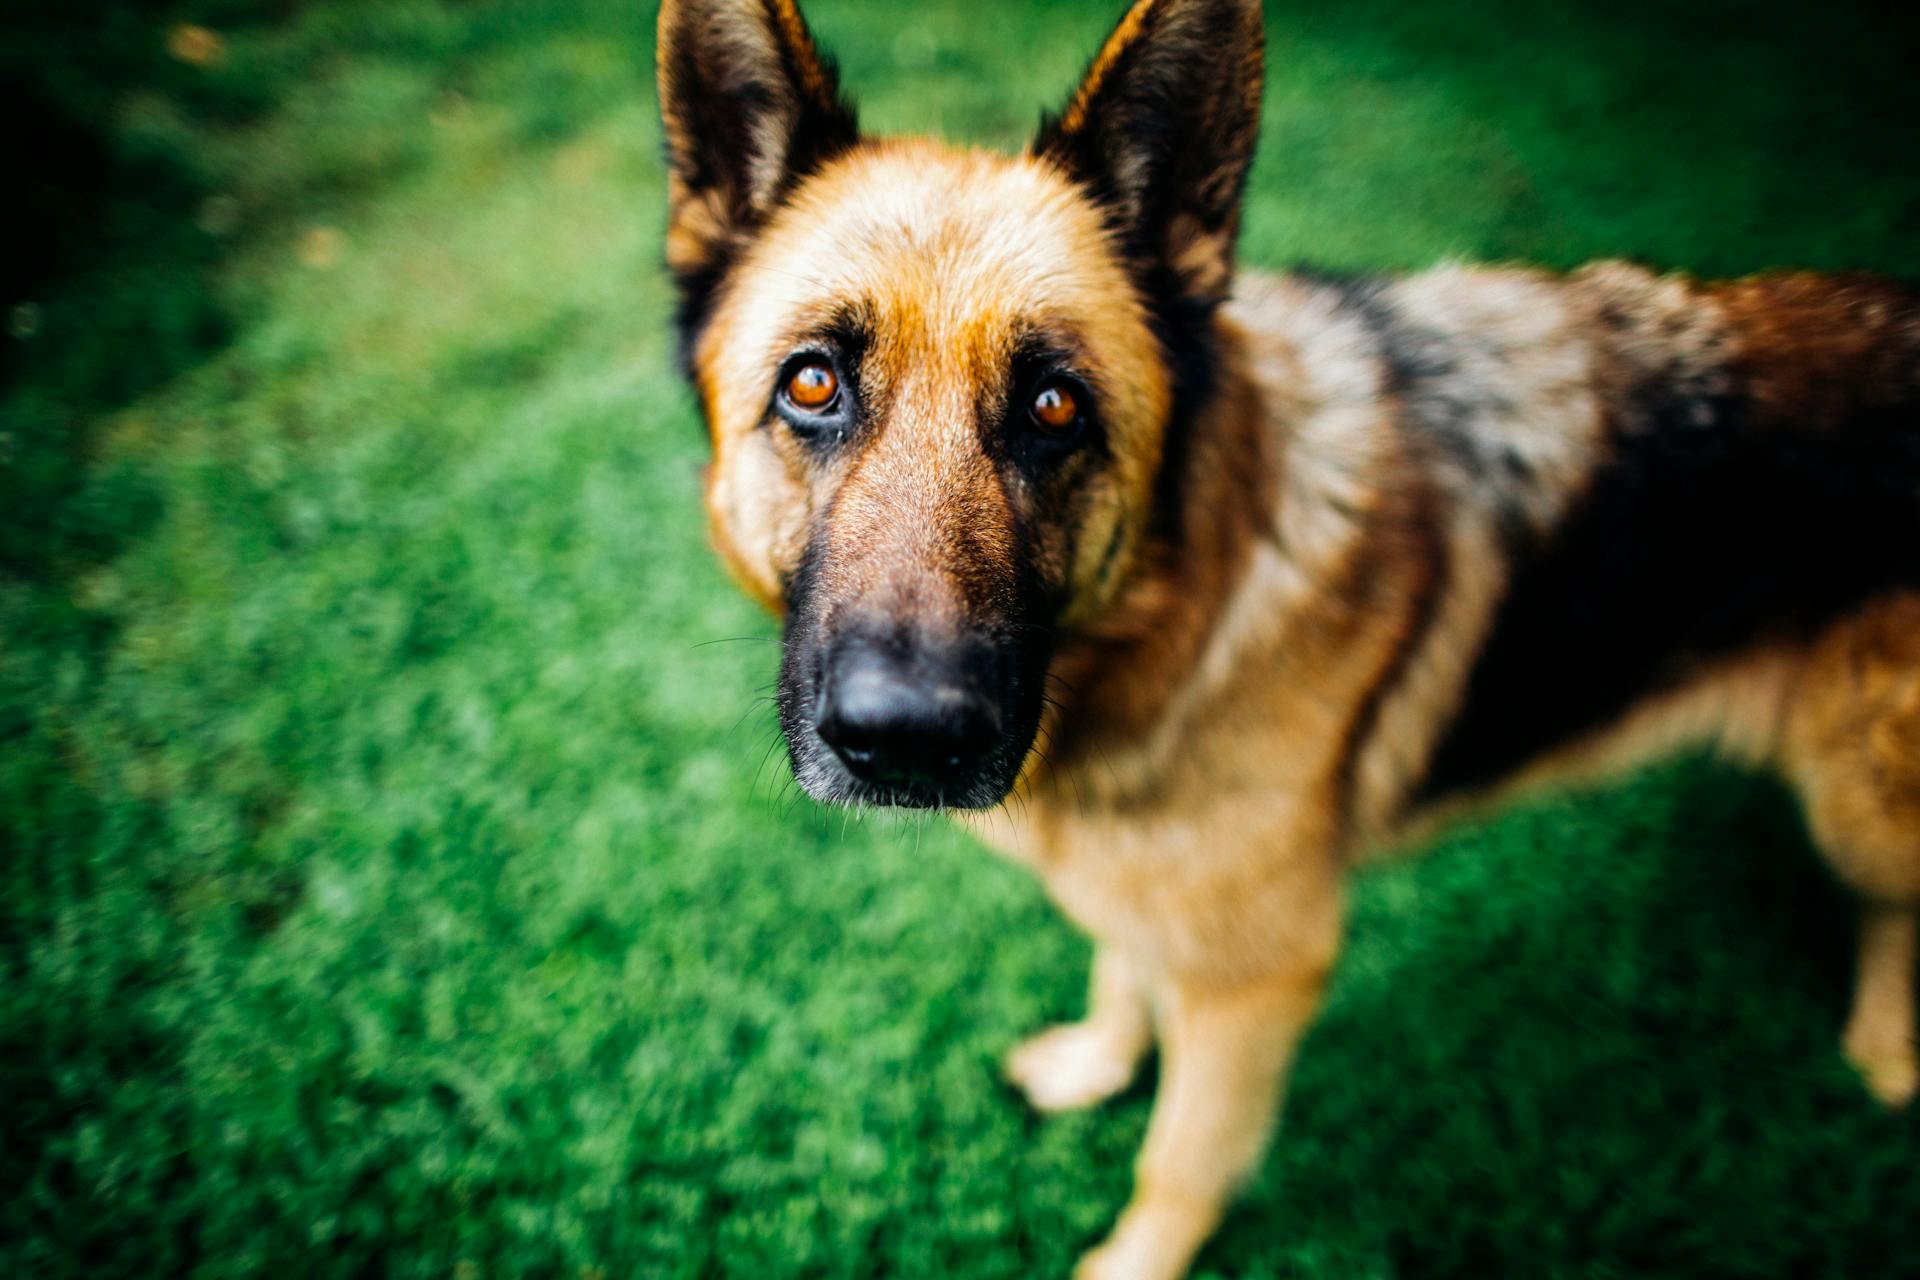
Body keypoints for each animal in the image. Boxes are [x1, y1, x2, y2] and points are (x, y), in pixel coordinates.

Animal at [656, 2, 1920, 1280]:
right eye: (813, 384)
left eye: (1057, 406)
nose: (909, 741)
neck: (1183, 613)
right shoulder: (1156, 890)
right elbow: (1124, 966)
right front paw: (1099, 1059)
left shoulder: (1258, 981)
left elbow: (1177, 1160)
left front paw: (1133, 1258)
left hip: (1862, 801)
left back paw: (1886, 1043)